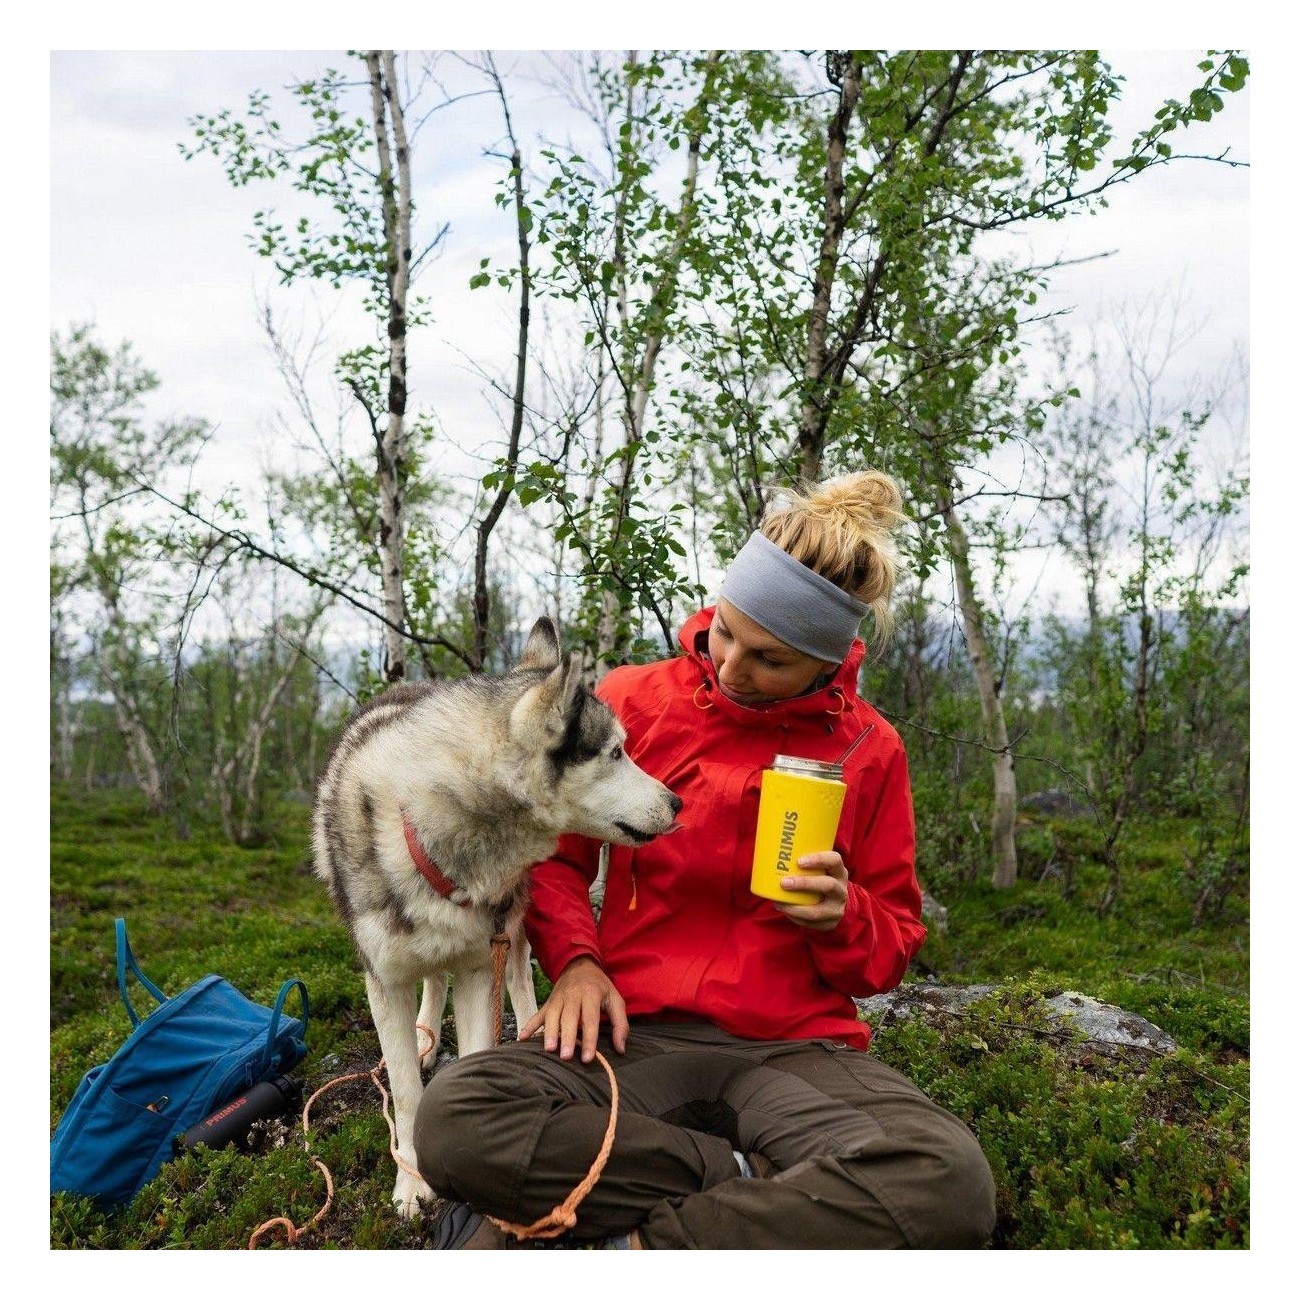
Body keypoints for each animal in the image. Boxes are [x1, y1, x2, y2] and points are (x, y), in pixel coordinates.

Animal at [313, 618, 681, 1216]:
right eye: (615, 753)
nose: (677, 803)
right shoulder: (385, 981)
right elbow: (407, 1092)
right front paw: (411, 1182)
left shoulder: (478, 967)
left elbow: (477, 1043)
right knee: (432, 981)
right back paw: (425, 1037)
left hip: (514, 923)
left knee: (518, 974)